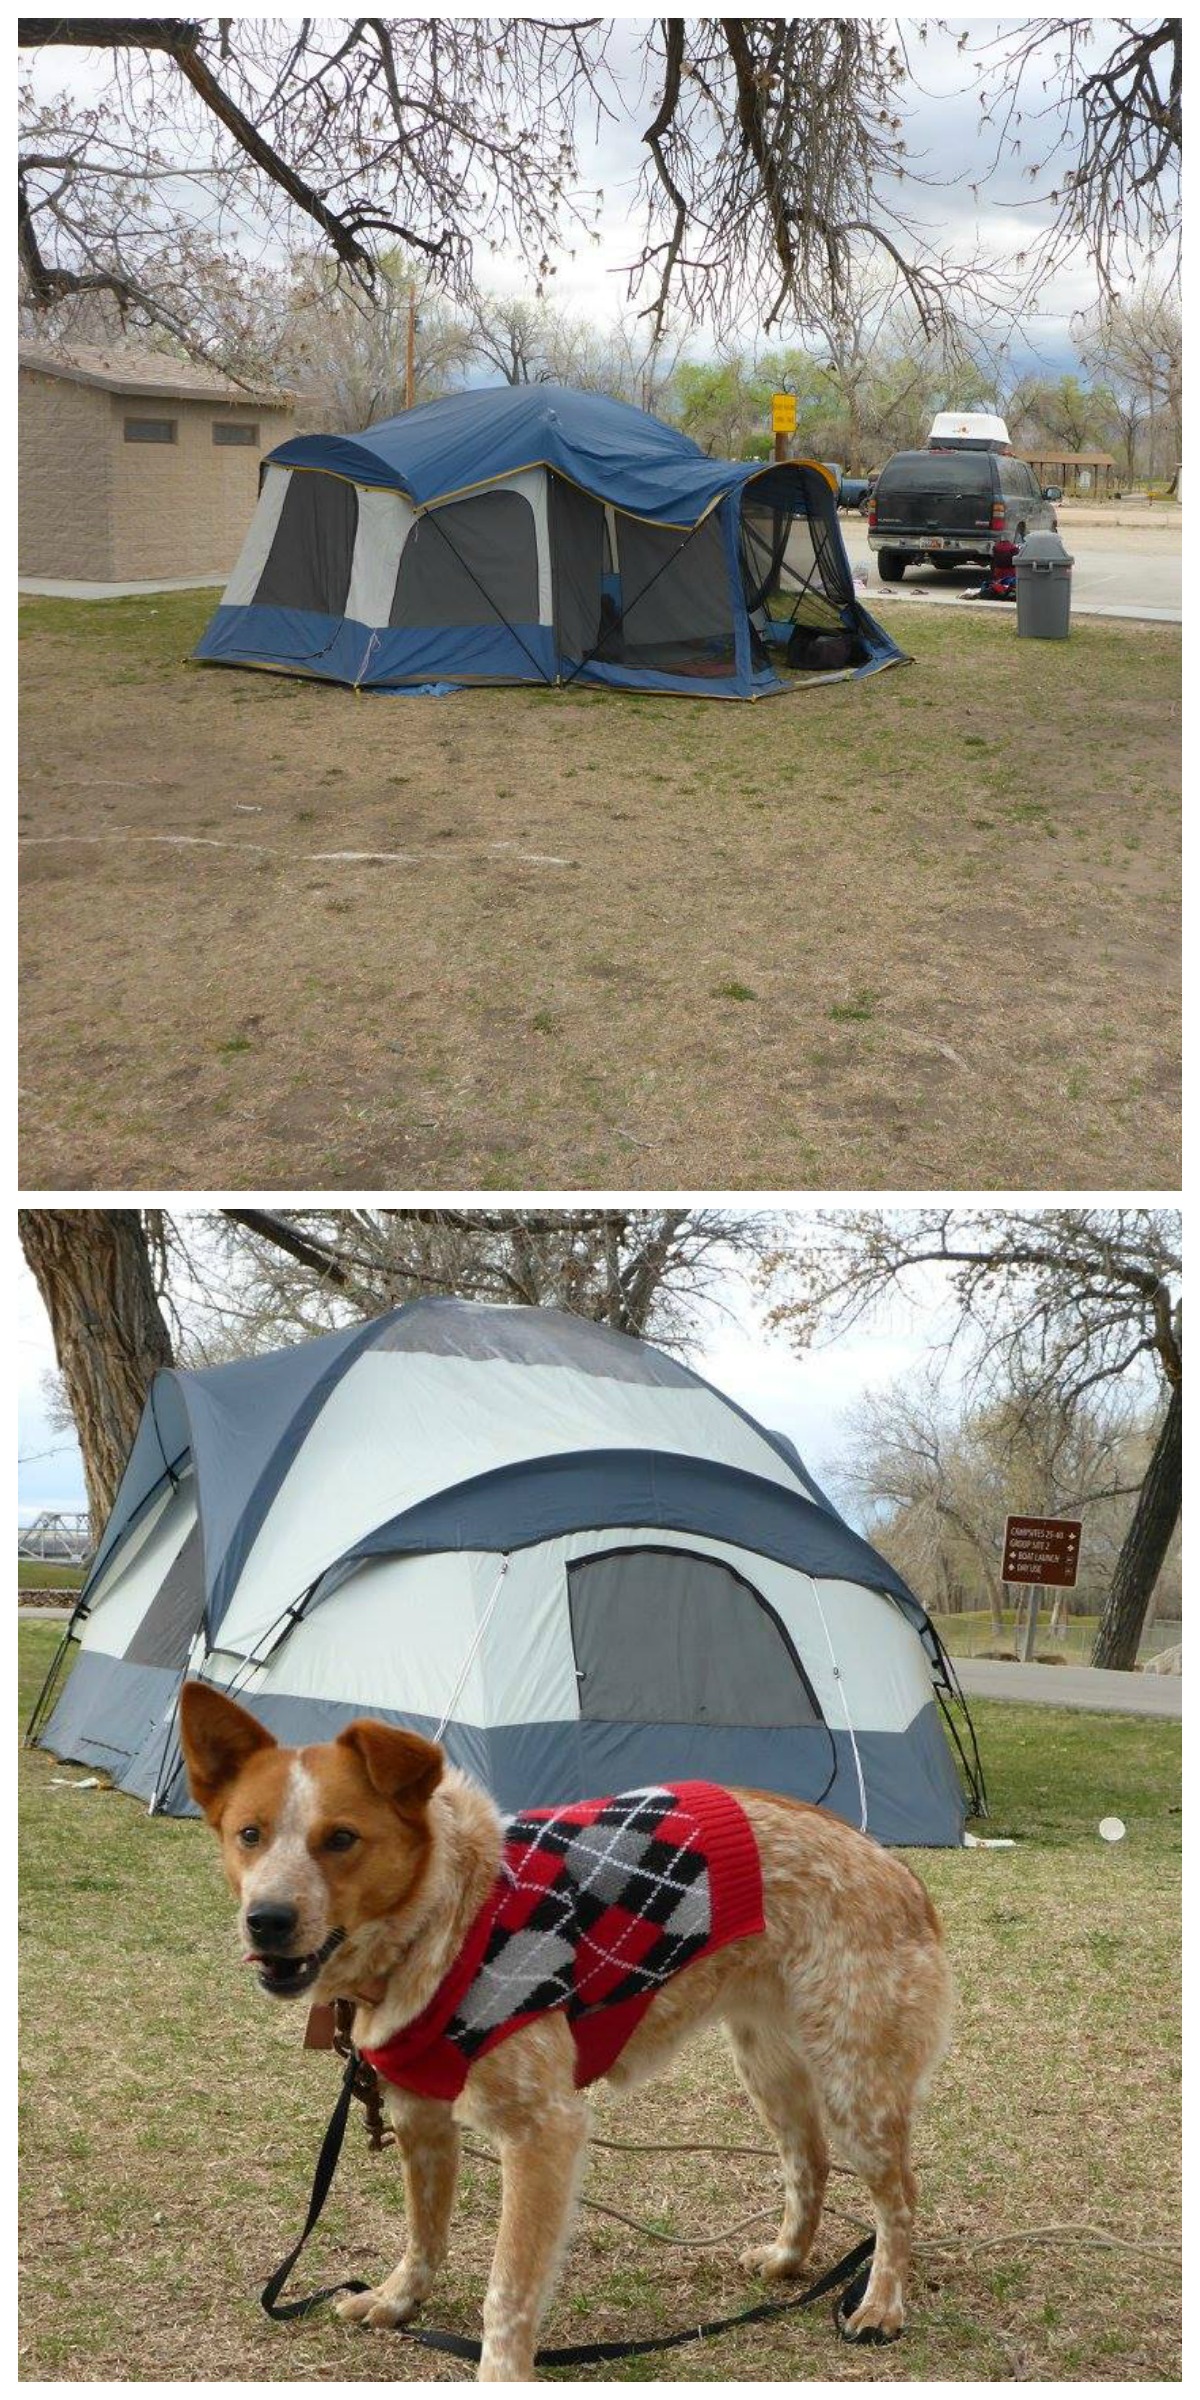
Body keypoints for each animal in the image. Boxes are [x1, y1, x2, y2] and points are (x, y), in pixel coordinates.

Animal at [177, 1689, 950, 2380]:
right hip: (768, 2065)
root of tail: (897, 1870)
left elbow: (508, 2293)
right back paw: (789, 2260)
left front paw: (500, 2375)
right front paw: (399, 2302)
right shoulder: (420, 2117)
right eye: (249, 1835)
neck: (448, 1913)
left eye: (341, 1839)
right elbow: (424, 2233)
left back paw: (881, 2305)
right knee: (808, 2162)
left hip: (856, 2086)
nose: (266, 1920)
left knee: (900, 2198)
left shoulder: (543, 2133)